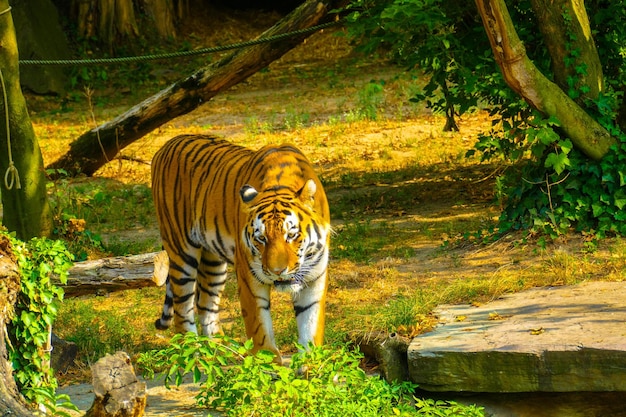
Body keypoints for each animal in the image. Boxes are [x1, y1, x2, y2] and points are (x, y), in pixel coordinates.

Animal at [151, 135, 330, 360]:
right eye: (261, 238)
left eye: (291, 235)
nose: (277, 271)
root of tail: (164, 146)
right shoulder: (250, 279)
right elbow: (261, 335)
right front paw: (268, 363)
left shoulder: (314, 278)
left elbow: (311, 331)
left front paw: (310, 365)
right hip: (181, 252)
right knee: (182, 309)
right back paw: (193, 354)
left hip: (213, 262)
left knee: (205, 303)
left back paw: (220, 351)